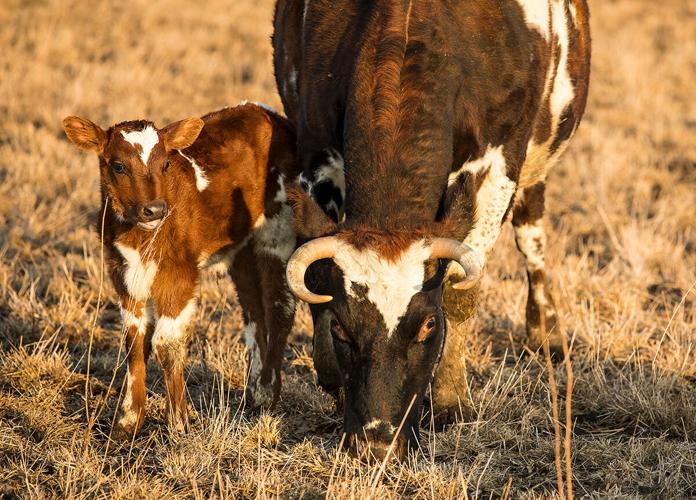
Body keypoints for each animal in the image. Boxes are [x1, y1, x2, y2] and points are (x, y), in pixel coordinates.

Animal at [63, 103, 299, 438]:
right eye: (118, 166)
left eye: (165, 164)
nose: (154, 209)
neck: (140, 236)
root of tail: (263, 111)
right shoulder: (123, 275)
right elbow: (134, 342)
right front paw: (129, 420)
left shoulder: (180, 275)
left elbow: (166, 343)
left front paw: (179, 421)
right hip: (241, 248)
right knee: (253, 310)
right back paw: (253, 390)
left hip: (278, 230)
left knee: (279, 305)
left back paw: (267, 392)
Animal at [273, 0, 591, 459]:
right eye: (341, 329)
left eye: (428, 325)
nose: (377, 441)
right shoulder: (316, 155)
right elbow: (317, 279)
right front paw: (333, 382)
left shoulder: (498, 165)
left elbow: (460, 289)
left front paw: (450, 401)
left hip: (538, 161)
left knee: (532, 236)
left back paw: (543, 331)